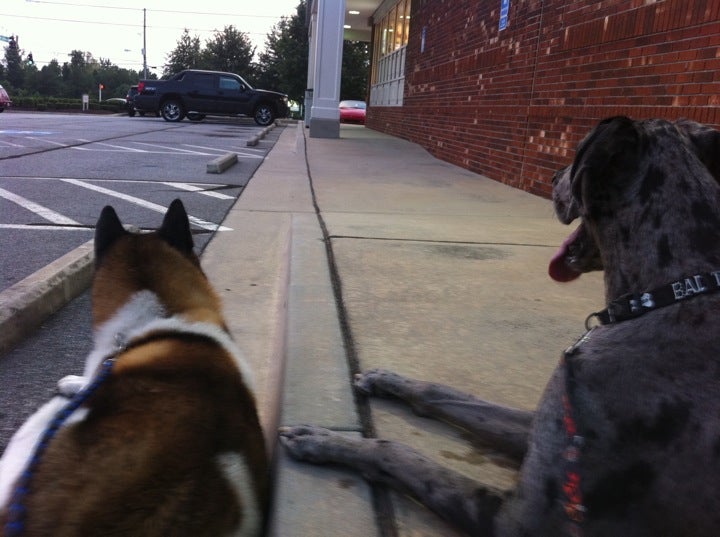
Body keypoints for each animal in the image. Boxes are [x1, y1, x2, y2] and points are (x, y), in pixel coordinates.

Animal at [280, 117, 720, 536]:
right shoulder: (535, 428)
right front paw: (387, 380)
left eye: (577, 151)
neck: (670, 292)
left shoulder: (524, 522)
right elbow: (447, 395)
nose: (554, 174)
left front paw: (325, 440)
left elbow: (398, 451)